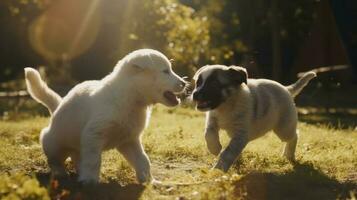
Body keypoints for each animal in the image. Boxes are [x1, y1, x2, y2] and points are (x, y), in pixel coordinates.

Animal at [25, 49, 186, 184]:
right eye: (165, 71)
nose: (184, 83)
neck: (130, 98)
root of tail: (57, 108)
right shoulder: (93, 135)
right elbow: (93, 160)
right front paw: (90, 180)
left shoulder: (130, 140)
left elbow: (142, 160)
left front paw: (149, 181)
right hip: (53, 142)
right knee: (55, 160)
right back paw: (60, 173)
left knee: (76, 157)